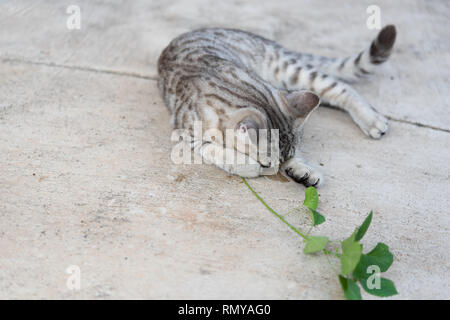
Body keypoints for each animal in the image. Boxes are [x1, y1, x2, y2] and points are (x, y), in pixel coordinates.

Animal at [156, 25, 396, 188]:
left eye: (283, 159)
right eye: (265, 164)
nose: (273, 170)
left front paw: (300, 168)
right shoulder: (187, 135)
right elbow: (214, 150)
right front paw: (249, 165)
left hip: (291, 71)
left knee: (341, 88)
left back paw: (371, 119)